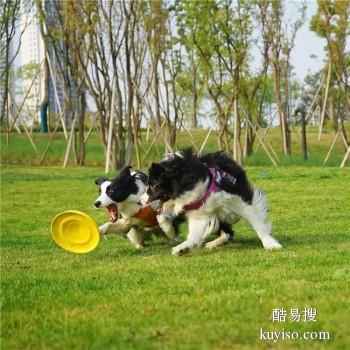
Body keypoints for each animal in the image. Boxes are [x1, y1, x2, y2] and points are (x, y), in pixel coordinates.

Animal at [139, 149, 282, 256]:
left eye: (154, 186)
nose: (140, 201)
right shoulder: (199, 213)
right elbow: (193, 234)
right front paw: (182, 248)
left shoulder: (240, 199)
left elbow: (257, 223)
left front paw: (271, 244)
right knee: (227, 232)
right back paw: (212, 243)